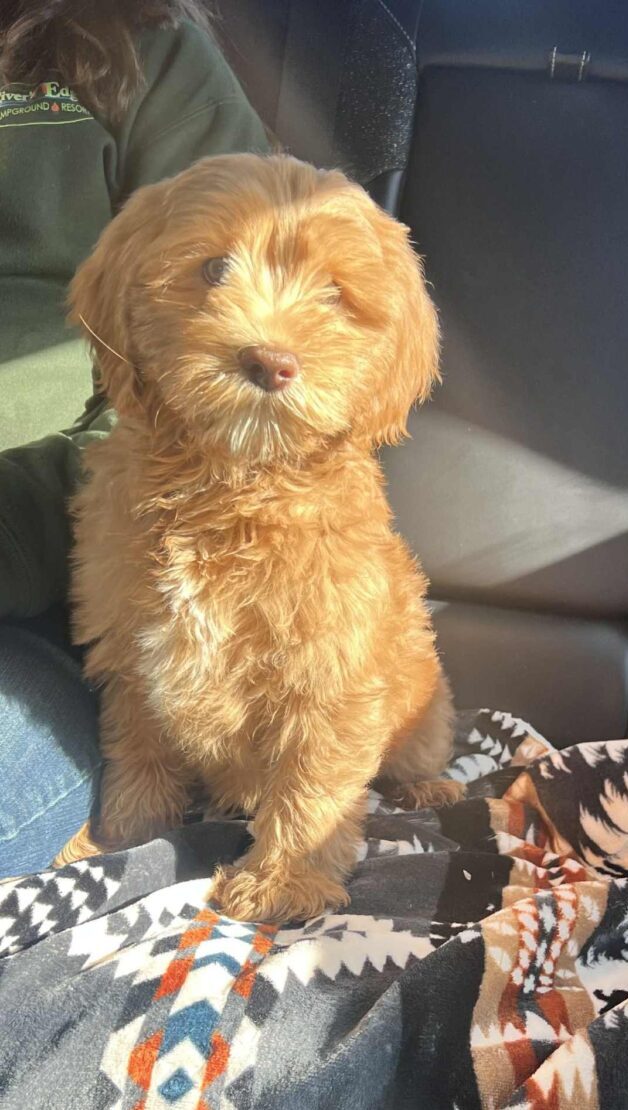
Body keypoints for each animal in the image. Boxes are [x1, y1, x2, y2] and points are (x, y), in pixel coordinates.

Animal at [55, 153, 462, 923]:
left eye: (335, 295)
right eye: (214, 268)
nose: (271, 361)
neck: (231, 486)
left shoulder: (331, 670)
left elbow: (313, 783)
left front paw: (282, 883)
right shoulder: (129, 650)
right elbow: (137, 748)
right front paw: (123, 840)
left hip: (424, 695)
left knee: (415, 750)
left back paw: (430, 786)